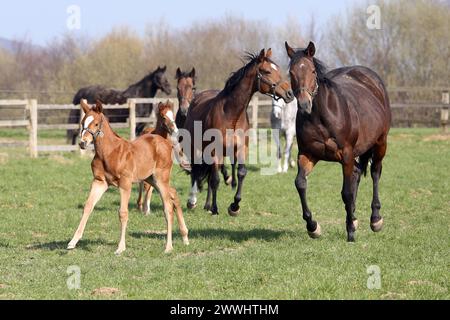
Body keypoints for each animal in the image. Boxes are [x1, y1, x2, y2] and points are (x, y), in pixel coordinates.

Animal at [67, 99, 188, 254]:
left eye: (96, 123)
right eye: (83, 122)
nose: (83, 143)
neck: (109, 152)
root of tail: (165, 142)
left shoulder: (125, 184)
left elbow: (123, 213)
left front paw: (120, 247)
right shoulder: (99, 182)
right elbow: (88, 206)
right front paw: (73, 241)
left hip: (161, 178)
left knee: (167, 207)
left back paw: (168, 247)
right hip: (151, 179)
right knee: (174, 194)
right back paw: (185, 237)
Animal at [184, 48, 294, 215]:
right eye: (267, 71)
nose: (289, 93)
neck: (231, 115)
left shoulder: (241, 148)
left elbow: (240, 173)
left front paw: (234, 206)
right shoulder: (215, 150)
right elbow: (215, 179)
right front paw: (215, 208)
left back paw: (207, 205)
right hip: (195, 148)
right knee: (196, 172)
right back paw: (192, 201)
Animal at [286, 42, 392, 242]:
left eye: (312, 71)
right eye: (291, 72)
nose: (304, 104)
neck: (322, 116)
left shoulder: (346, 154)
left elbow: (346, 192)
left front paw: (350, 232)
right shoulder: (307, 154)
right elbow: (300, 183)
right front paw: (313, 227)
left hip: (380, 143)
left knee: (375, 172)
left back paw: (375, 219)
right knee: (358, 173)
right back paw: (354, 217)